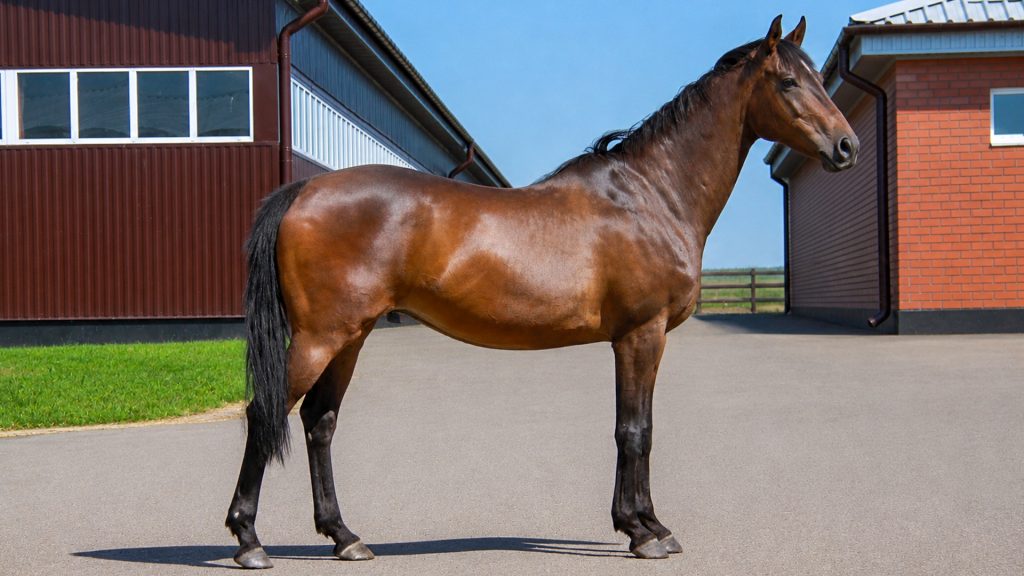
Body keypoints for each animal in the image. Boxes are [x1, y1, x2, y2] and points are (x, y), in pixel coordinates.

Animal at [225, 15, 858, 568]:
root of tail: (306, 190)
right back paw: (249, 541)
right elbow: (635, 431)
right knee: (266, 414)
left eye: (817, 77)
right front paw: (644, 532)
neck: (651, 194)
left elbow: (639, 429)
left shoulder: (638, 339)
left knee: (320, 422)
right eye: (788, 81)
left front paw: (642, 524)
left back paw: (344, 536)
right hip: (320, 336)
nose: (846, 147)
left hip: (350, 336)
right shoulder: (641, 335)